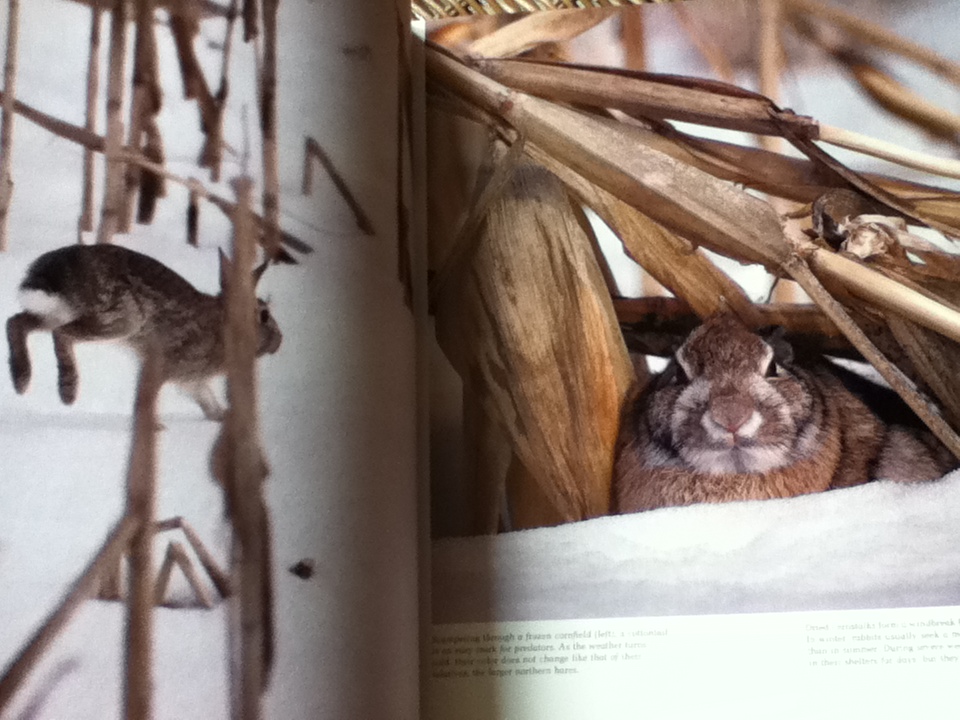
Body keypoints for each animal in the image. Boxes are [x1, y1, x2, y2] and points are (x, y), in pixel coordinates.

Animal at [6, 243, 282, 421]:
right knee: (61, 334)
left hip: (58, 312)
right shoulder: (166, 364)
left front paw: (223, 418)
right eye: (264, 315)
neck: (225, 325)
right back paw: (67, 390)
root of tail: (52, 272)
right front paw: (154, 428)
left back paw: (21, 379)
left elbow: (208, 403)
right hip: (120, 320)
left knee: (16, 323)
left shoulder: (192, 381)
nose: (279, 341)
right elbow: (147, 398)